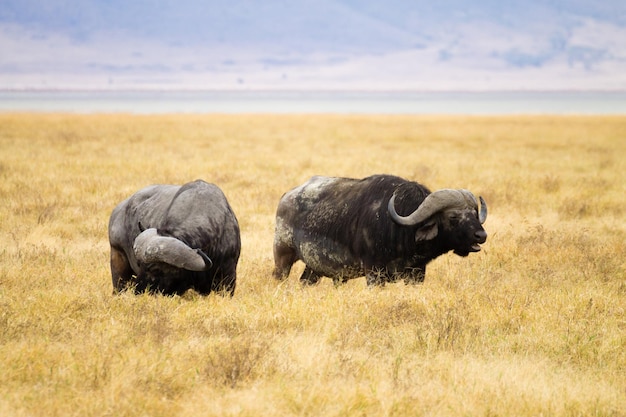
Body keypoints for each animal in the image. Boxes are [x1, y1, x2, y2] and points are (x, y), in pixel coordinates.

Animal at [107, 180, 239, 294]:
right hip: (118, 262)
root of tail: (118, 210)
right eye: (139, 264)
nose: (138, 290)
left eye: (155, 269)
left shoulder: (228, 278)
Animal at [272, 173, 488, 286]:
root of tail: (286, 197)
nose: (481, 235)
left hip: (313, 267)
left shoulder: (417, 274)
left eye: (474, 213)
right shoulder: (374, 274)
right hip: (282, 257)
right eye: (453, 217)